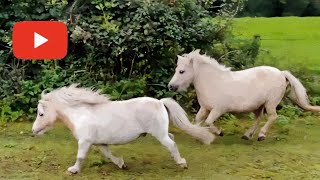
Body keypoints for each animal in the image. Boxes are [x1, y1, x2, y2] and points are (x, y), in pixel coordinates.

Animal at [31, 84, 215, 174]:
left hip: (159, 134)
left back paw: (181, 163)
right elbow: (108, 155)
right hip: (161, 132)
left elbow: (80, 157)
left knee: (171, 144)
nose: (33, 131)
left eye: (41, 114)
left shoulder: (84, 142)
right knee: (172, 139)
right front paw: (122, 164)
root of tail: (160, 102)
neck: (80, 115)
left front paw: (73, 170)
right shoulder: (99, 143)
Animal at [168, 50, 320, 141]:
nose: (171, 86)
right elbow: (198, 121)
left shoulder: (218, 109)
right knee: (258, 118)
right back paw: (247, 135)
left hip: (270, 103)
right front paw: (201, 136)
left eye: (181, 71)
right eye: (176, 69)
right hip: (258, 106)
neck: (212, 82)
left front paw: (219, 132)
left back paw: (261, 135)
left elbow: (208, 122)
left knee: (272, 117)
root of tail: (282, 73)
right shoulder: (205, 108)